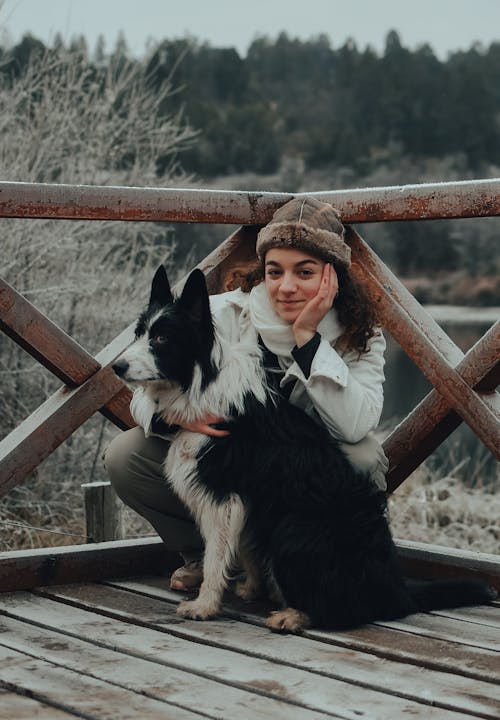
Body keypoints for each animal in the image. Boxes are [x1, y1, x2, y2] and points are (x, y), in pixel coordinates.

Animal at [113, 268, 496, 632]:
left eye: (162, 338)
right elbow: (247, 549)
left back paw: (296, 615)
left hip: (294, 528)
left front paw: (205, 605)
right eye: (138, 333)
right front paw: (252, 588)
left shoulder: (224, 496)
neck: (201, 379)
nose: (116, 367)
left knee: (347, 611)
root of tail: (395, 591)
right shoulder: (250, 502)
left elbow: (216, 556)